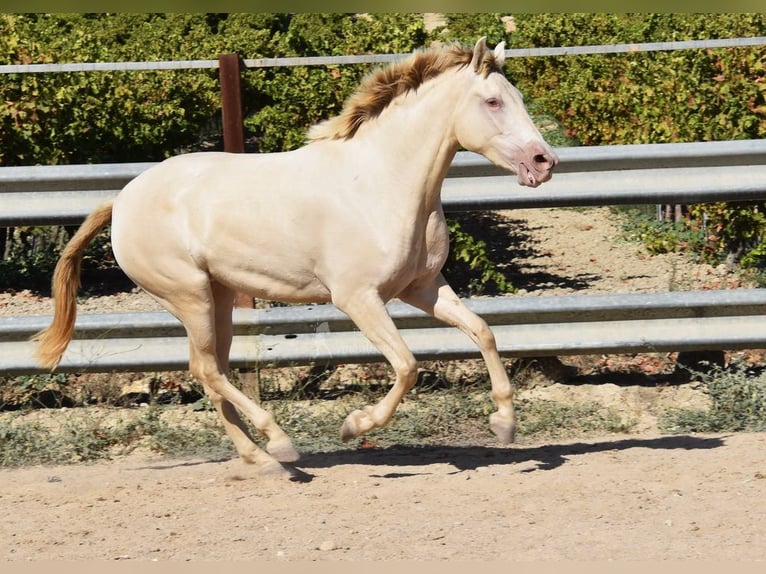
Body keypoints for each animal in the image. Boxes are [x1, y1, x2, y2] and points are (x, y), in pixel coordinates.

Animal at [33, 37, 560, 476]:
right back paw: (281, 444)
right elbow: (408, 365)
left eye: (516, 98)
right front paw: (355, 425)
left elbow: (484, 332)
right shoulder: (358, 298)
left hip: (216, 297)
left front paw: (504, 423)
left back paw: (259, 458)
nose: (545, 161)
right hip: (189, 295)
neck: (382, 182)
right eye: (492, 102)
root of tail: (121, 200)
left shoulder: (422, 288)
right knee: (209, 370)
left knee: (209, 370)